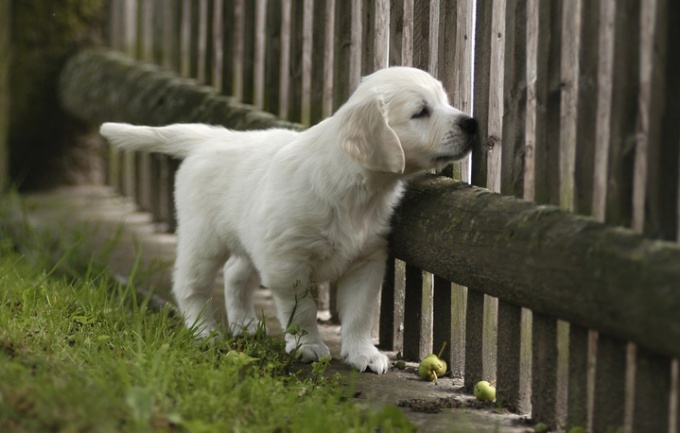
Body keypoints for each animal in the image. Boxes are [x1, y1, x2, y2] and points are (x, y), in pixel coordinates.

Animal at [99, 66, 478, 372]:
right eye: (421, 112)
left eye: (445, 101)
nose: (472, 123)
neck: (357, 191)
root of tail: (214, 136)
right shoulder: (288, 261)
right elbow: (304, 310)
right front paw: (307, 346)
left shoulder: (366, 260)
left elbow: (359, 314)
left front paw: (363, 354)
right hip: (203, 239)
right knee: (190, 285)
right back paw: (203, 330)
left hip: (253, 238)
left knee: (235, 274)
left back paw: (244, 322)